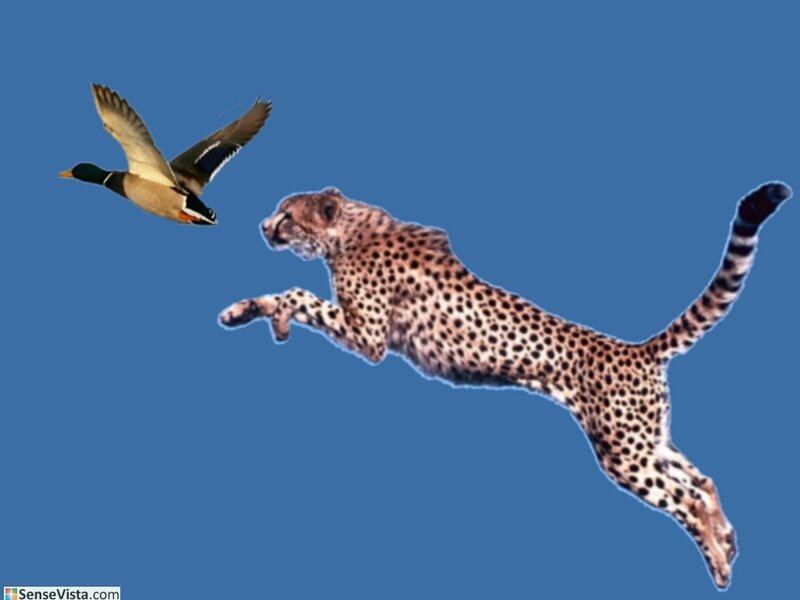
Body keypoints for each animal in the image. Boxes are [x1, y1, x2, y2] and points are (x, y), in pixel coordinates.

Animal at [219, 182, 791, 588]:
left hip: (625, 455)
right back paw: (727, 539)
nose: (263, 227)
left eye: (286, 215)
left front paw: (269, 311)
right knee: (704, 481)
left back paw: (718, 562)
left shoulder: (369, 336)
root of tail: (637, 348)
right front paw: (245, 312)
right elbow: (284, 297)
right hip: (646, 441)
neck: (349, 232)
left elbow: (297, 293)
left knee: (686, 499)